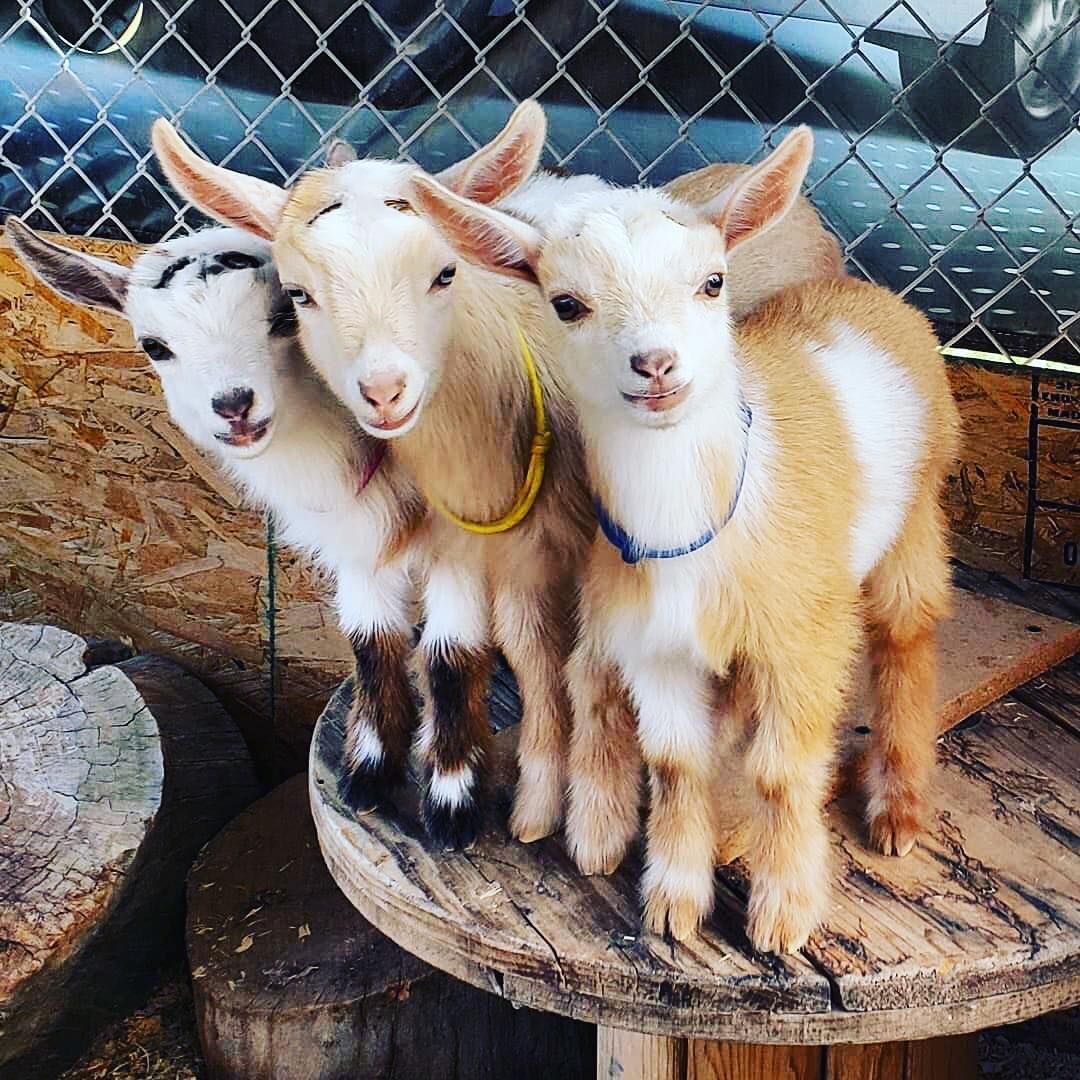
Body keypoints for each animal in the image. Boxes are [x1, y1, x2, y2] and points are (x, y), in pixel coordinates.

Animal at [5, 219, 426, 812]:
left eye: (285, 317)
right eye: (155, 346)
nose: (233, 406)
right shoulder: (363, 552)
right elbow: (373, 641)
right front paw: (367, 777)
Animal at [410, 127, 960, 954]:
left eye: (711, 282)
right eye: (566, 303)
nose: (656, 365)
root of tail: (870, 295)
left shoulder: (800, 641)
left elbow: (783, 770)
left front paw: (783, 913)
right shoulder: (658, 647)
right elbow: (676, 761)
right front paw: (673, 900)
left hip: (915, 523)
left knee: (907, 642)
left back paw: (897, 809)